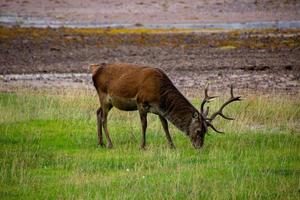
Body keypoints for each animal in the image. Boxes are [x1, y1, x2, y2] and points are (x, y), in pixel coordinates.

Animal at [91, 63, 241, 149]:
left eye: (206, 131)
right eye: (198, 130)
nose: (199, 147)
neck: (159, 93)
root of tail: (94, 70)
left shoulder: (159, 110)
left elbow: (165, 126)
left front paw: (172, 145)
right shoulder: (141, 102)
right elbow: (144, 125)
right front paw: (142, 146)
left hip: (108, 101)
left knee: (98, 112)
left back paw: (100, 143)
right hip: (103, 95)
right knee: (104, 118)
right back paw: (110, 144)